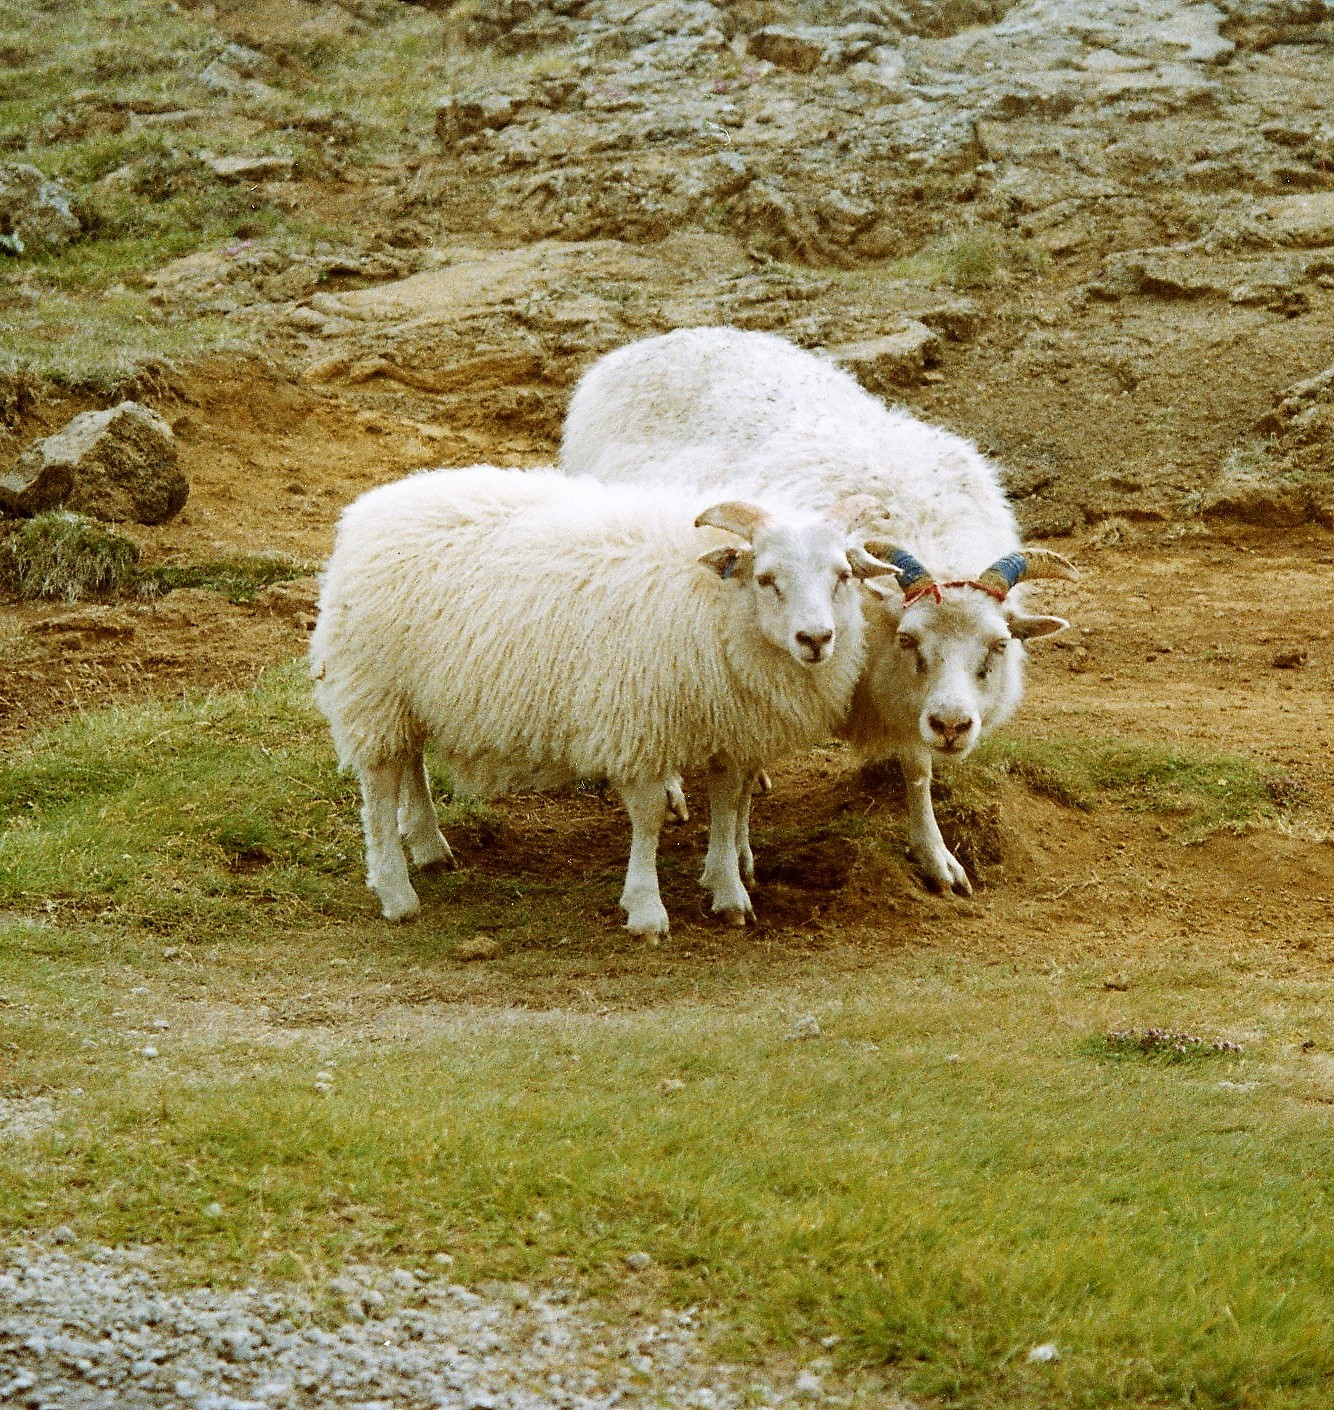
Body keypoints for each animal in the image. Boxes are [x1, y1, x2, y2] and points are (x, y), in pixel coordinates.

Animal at [309, 464, 889, 935]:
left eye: (843, 575)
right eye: (767, 578)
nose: (816, 639)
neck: (716, 602)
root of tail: (368, 510)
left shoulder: (730, 726)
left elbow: (727, 807)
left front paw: (728, 893)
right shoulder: (640, 724)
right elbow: (649, 816)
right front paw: (646, 909)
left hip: (405, 694)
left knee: (409, 761)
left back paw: (429, 846)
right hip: (372, 688)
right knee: (380, 785)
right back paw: (396, 892)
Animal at [560, 326, 1078, 896]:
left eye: (999, 645)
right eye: (908, 640)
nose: (952, 725)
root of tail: (652, 342)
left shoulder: (900, 696)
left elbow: (918, 771)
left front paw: (935, 854)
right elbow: (739, 779)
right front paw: (739, 856)